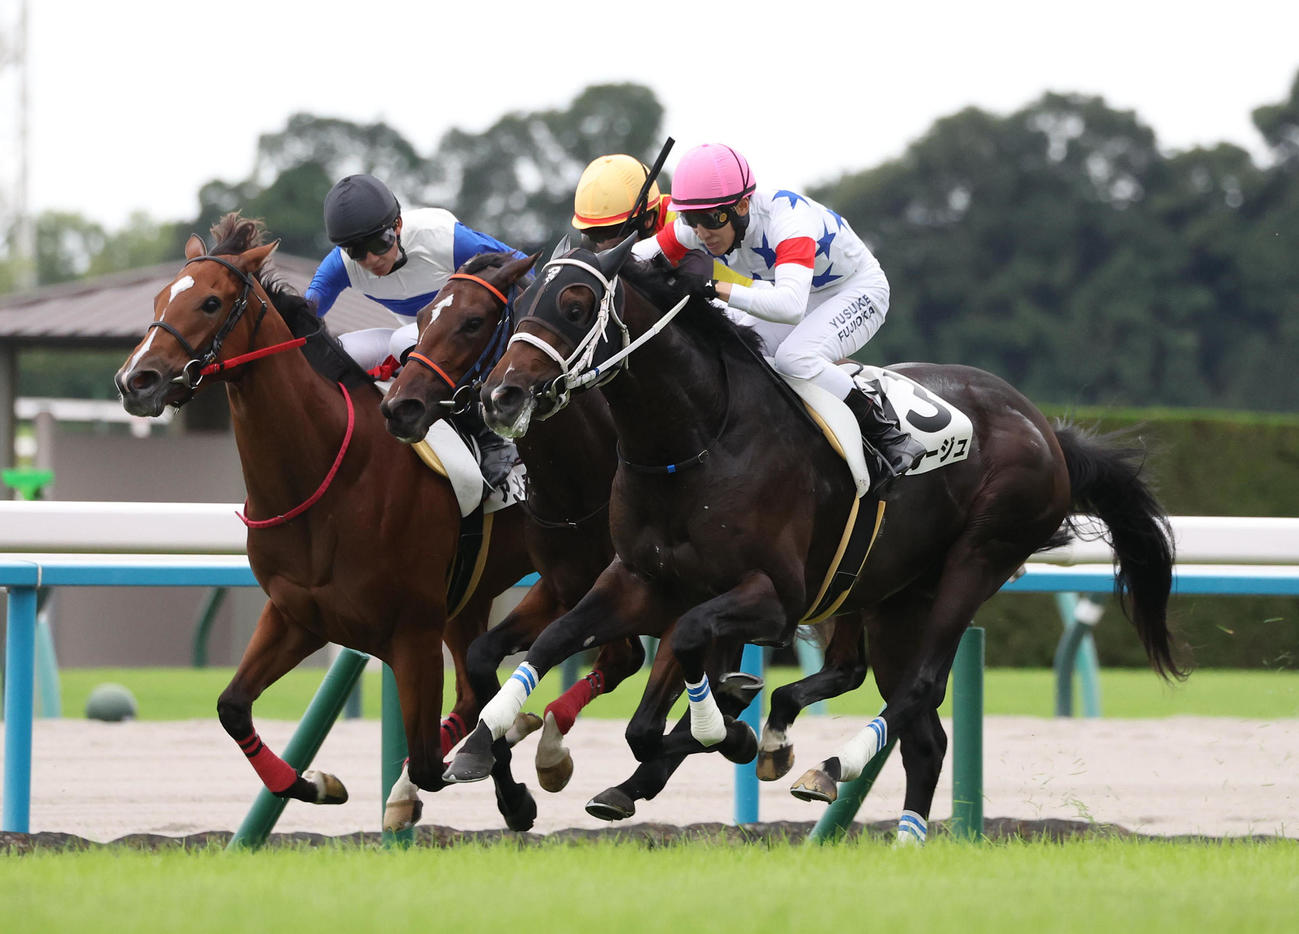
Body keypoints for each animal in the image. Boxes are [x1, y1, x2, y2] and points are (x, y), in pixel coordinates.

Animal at [114, 214, 540, 833]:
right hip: (470, 597)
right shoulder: (297, 616)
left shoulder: (412, 631)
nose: (135, 380)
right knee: (470, 691)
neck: (332, 477)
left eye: (211, 302)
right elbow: (231, 707)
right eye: (160, 298)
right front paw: (314, 783)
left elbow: (428, 761)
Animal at [379, 250, 762, 805]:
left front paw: (548, 753)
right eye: (425, 315)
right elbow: (486, 656)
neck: (581, 485)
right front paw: (493, 750)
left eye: (473, 322)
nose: (399, 406)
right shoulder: (562, 588)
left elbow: (635, 683)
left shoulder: (667, 599)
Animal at [444, 238, 1185, 841]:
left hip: (978, 558)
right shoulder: (634, 580)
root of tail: (1044, 429)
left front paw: (725, 729)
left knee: (920, 687)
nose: (501, 397)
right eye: (521, 305)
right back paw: (899, 833)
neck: (694, 443)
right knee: (923, 734)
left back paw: (830, 763)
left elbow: (685, 660)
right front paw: (484, 742)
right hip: (896, 598)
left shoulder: (770, 599)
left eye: (574, 305)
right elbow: (561, 649)